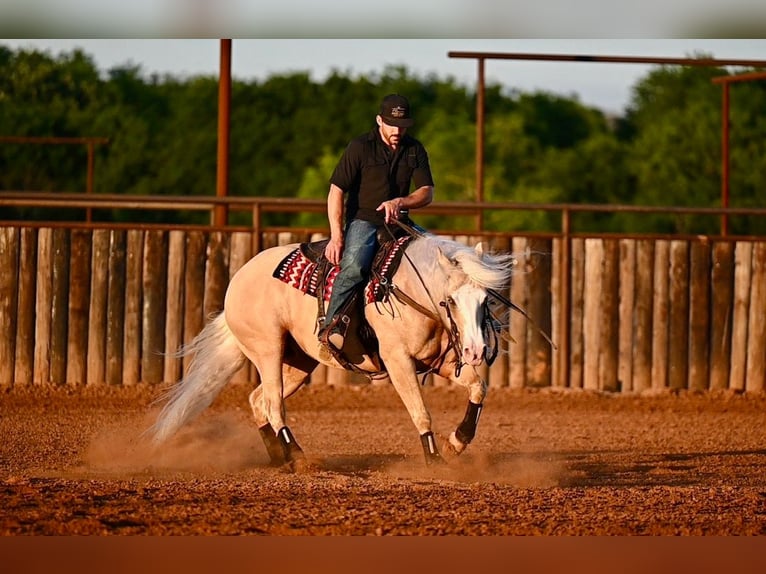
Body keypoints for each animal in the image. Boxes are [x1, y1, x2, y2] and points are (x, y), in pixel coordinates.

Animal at [148, 230, 516, 470]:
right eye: (451, 300)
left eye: (485, 299)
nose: (476, 351)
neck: (406, 288)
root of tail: (236, 283)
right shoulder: (398, 361)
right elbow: (420, 411)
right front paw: (435, 458)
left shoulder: (441, 362)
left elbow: (478, 387)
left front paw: (457, 442)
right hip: (268, 350)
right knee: (274, 403)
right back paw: (298, 458)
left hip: (299, 361)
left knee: (258, 401)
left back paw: (279, 459)